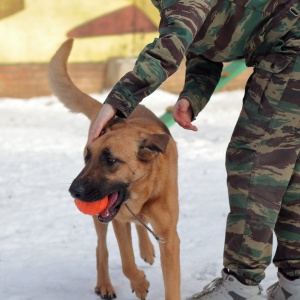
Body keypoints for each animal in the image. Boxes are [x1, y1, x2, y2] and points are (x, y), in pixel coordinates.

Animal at [49, 40, 179, 300]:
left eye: (110, 160)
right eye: (87, 158)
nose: (73, 191)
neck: (142, 192)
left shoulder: (169, 238)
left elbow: (172, 286)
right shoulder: (118, 220)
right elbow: (127, 263)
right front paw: (139, 282)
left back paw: (146, 249)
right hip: (101, 221)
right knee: (101, 248)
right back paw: (105, 284)